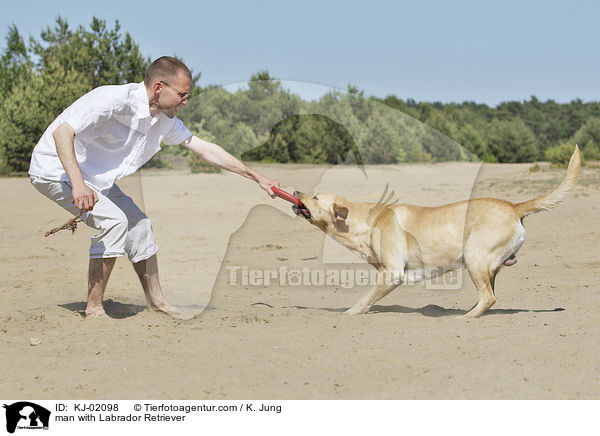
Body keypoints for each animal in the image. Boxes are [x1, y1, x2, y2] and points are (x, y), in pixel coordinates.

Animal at [292, 146, 580, 316]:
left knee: (489, 298)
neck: (365, 221)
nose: (295, 190)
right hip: (488, 266)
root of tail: (514, 206)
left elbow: (365, 299)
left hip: (474, 258)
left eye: (315, 197)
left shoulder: (392, 274)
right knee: (489, 295)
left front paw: (350, 313)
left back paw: (466, 317)